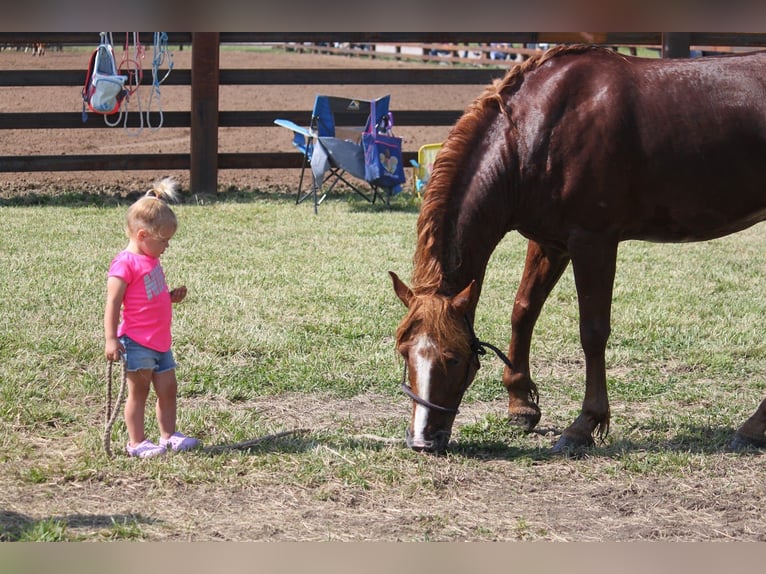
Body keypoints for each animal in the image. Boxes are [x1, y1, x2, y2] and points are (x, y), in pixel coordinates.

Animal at [392, 45, 766, 456]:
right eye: (404, 351)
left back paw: (753, 428)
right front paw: (521, 405)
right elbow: (523, 311)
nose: (422, 440)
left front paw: (584, 425)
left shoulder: (593, 241)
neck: (535, 131)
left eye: (454, 357)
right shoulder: (549, 241)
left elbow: (592, 332)